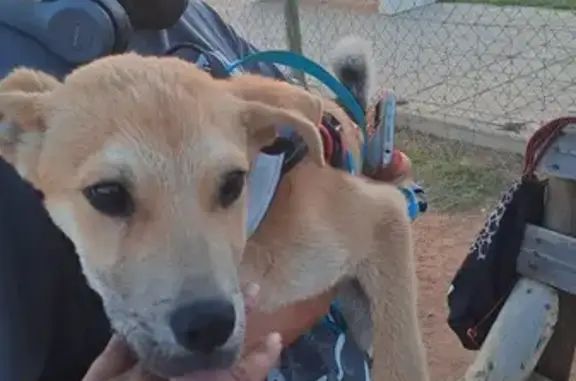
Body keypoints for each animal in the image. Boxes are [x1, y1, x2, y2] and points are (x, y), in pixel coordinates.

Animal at [0, 51, 426, 380]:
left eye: (233, 182)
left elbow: (402, 360)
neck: (250, 241)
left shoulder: (384, 214)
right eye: (106, 194)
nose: (208, 326)